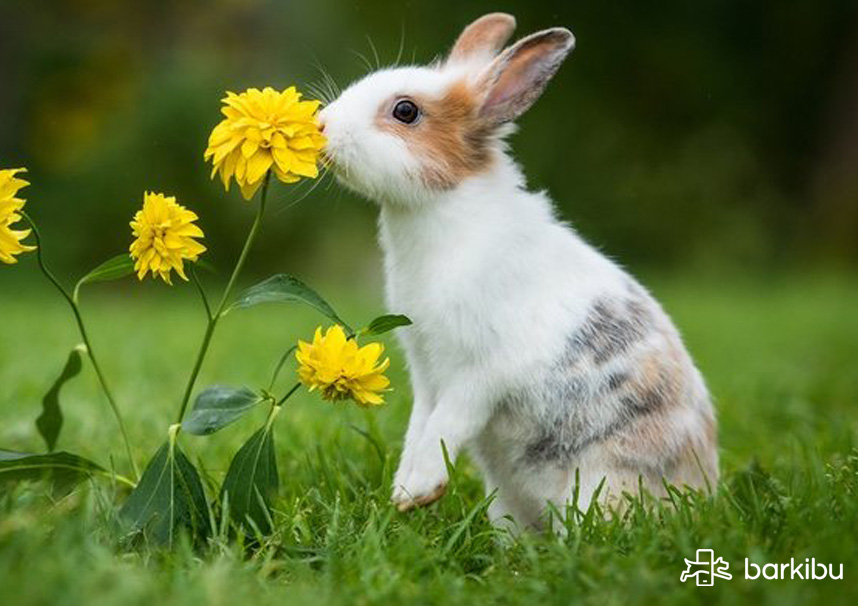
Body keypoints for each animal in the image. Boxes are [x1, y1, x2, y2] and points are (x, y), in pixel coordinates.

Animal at [314, 11, 716, 528]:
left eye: (405, 111)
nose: (322, 125)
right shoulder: (426, 372)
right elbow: (420, 425)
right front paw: (404, 491)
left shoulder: (479, 371)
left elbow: (446, 423)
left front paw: (416, 490)